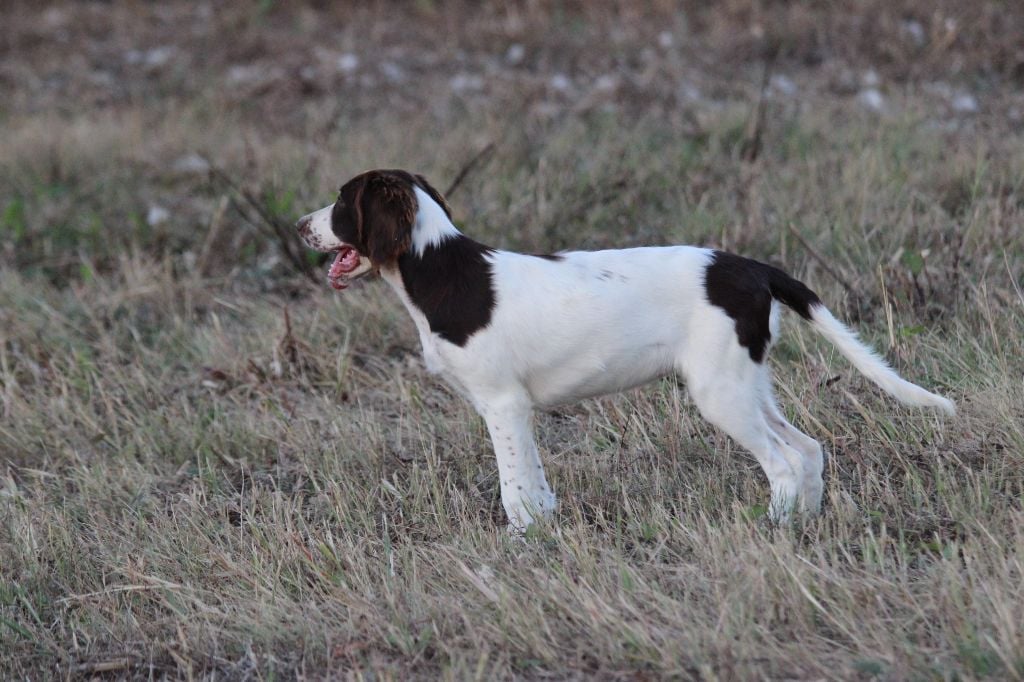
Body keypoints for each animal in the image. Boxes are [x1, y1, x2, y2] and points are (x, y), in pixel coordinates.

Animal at [296, 169, 955, 530]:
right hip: (744, 379)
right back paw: (804, 525)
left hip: (719, 392)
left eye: (342, 202)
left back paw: (771, 529)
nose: (301, 226)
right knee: (809, 449)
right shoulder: (517, 411)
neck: (437, 268)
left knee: (785, 461)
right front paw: (545, 533)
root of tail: (750, 266)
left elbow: (515, 490)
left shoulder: (503, 404)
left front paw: (521, 543)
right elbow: (536, 486)